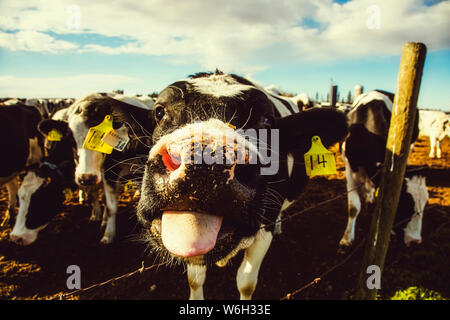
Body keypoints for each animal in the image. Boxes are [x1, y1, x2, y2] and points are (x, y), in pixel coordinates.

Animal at [67, 94, 155, 244]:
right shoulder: (108, 173)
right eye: (71, 141)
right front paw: (108, 234)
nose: (86, 178)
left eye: (101, 137)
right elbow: (109, 206)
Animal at [137, 70, 348, 300]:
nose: (204, 162)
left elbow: (246, 283)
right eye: (159, 112)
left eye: (267, 120)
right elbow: (194, 279)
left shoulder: (265, 227)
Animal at [340, 90, 428, 248]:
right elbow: (353, 207)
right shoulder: (350, 167)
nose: (415, 240)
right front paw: (346, 239)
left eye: (425, 203)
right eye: (404, 203)